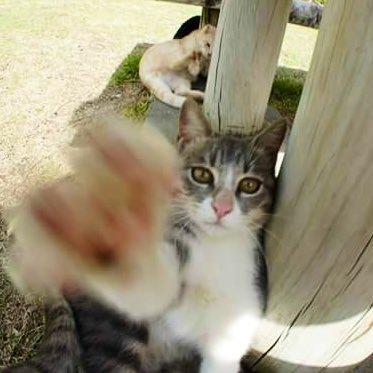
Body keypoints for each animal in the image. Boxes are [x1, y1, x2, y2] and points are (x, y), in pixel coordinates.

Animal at [4, 99, 286, 372]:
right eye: (202, 174)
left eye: (249, 185)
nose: (222, 207)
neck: (213, 247)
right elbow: (148, 291)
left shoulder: (242, 305)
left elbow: (224, 349)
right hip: (114, 334)